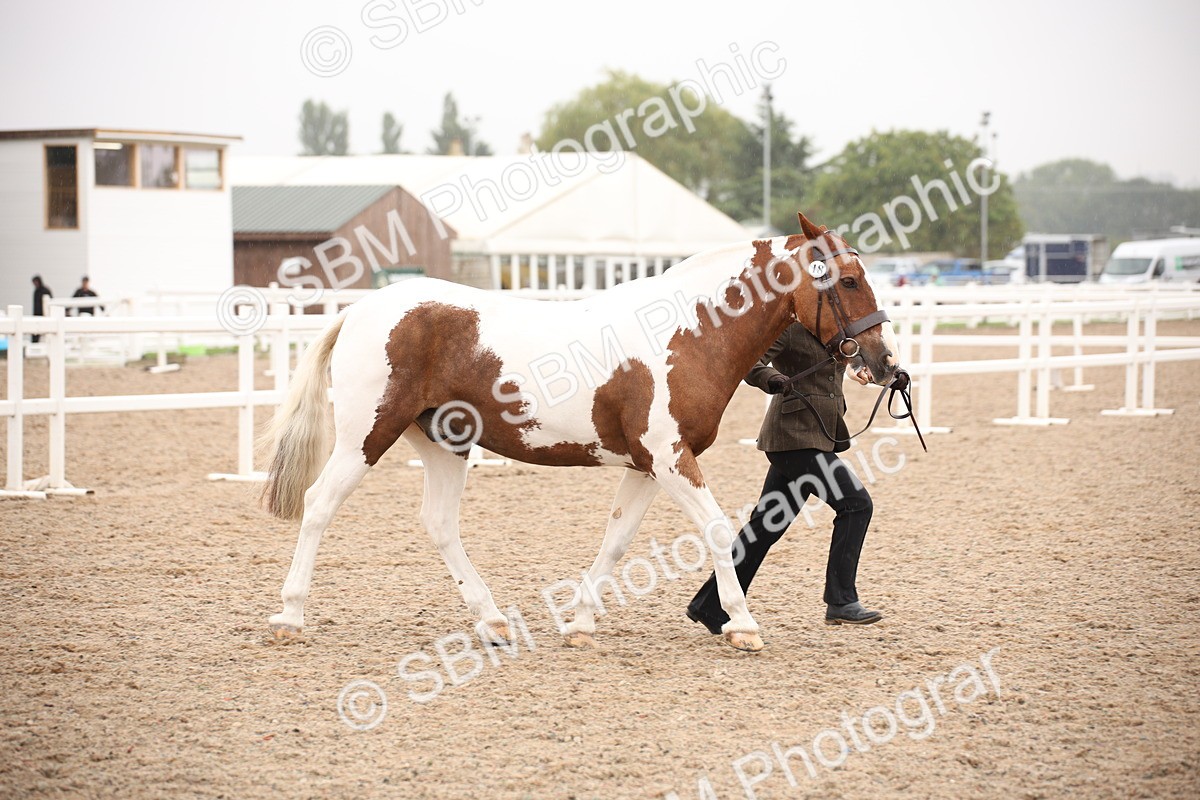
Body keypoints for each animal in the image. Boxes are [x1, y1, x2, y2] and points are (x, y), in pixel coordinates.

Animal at [260, 212, 900, 652]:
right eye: (847, 281)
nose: (883, 361)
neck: (688, 333)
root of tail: (359, 310)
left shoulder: (649, 467)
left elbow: (616, 540)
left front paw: (580, 623)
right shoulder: (671, 459)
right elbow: (718, 529)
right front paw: (742, 624)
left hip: (445, 444)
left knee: (439, 523)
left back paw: (493, 621)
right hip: (365, 437)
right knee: (319, 504)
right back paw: (289, 615)